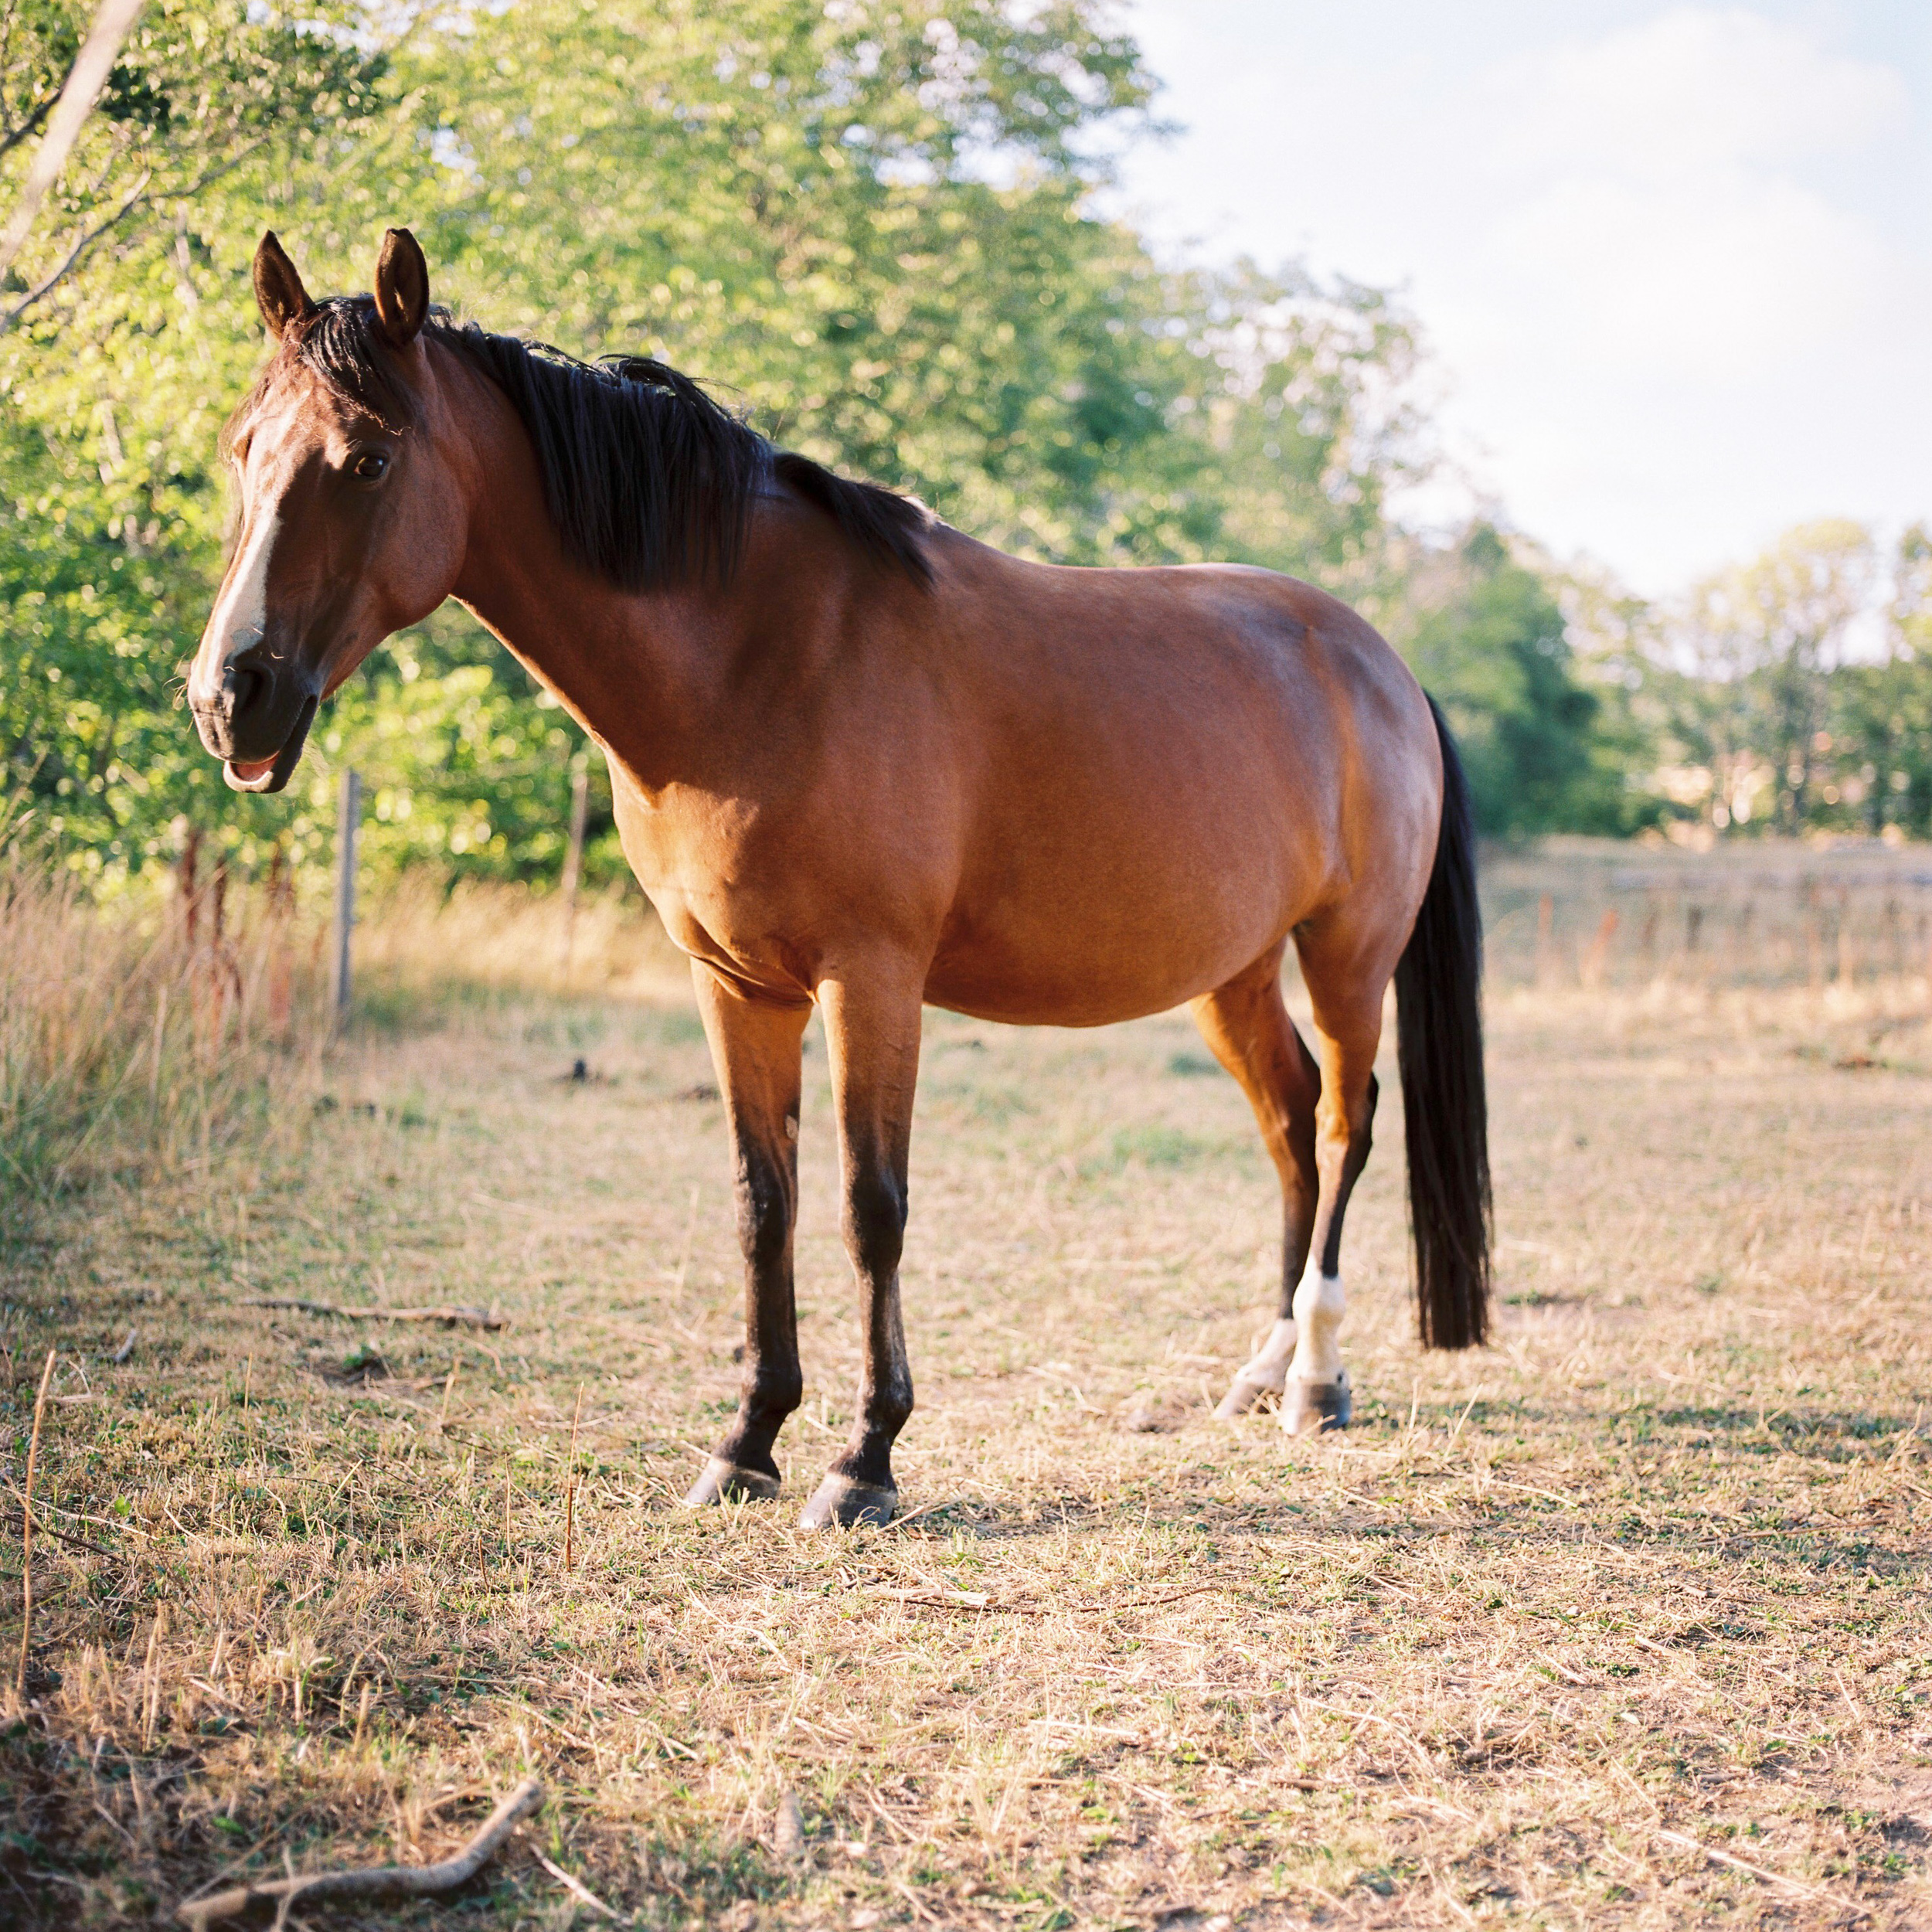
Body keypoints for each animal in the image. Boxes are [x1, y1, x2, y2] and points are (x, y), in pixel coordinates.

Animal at [188, 226, 1484, 1522]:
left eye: (366, 460)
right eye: (245, 449)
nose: (227, 696)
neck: (759, 657)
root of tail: (1381, 664)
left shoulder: (872, 982)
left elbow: (873, 1208)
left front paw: (865, 1461)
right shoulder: (735, 986)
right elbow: (765, 1205)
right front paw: (748, 1442)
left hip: (1348, 955)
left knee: (1344, 1125)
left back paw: (1317, 1379)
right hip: (1233, 974)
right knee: (1290, 1118)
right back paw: (1263, 1367)